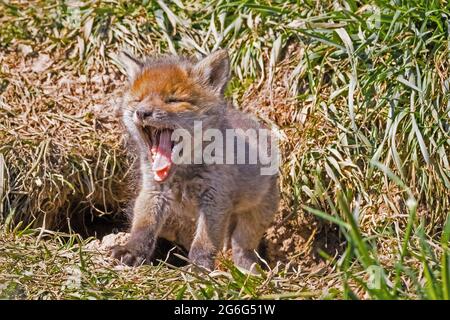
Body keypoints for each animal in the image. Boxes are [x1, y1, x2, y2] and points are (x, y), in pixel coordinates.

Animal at [112, 50, 280, 272]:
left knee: (242, 247)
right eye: (137, 100)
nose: (142, 112)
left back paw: (247, 270)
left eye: (172, 100)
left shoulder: (215, 199)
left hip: (254, 217)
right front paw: (132, 251)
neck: (183, 175)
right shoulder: (153, 191)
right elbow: (143, 228)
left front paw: (199, 268)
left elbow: (204, 243)